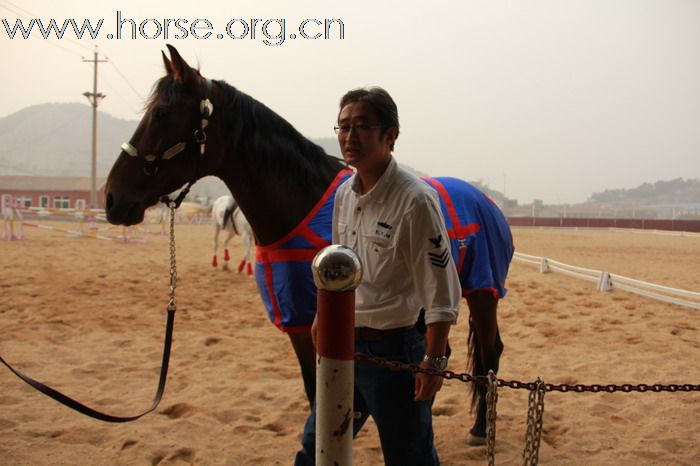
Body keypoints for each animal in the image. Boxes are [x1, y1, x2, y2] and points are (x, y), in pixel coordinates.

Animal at [104, 46, 508, 444]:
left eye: (161, 113)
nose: (112, 198)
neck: (299, 205)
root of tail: (486, 201)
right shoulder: (299, 323)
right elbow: (316, 391)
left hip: (482, 291)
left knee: (489, 352)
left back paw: (479, 429)